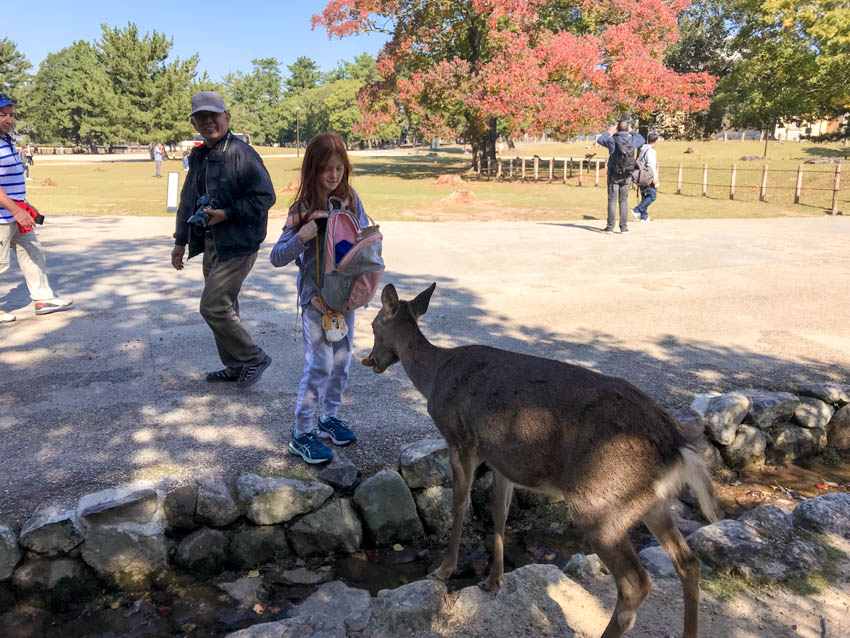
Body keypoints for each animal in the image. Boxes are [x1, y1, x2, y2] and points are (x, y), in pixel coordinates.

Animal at [362, 284, 720, 638]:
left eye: (374, 324)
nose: (373, 361)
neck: (434, 376)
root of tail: (678, 446)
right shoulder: (501, 457)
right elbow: (500, 511)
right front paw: (494, 579)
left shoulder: (460, 439)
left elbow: (460, 503)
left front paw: (443, 570)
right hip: (649, 502)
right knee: (688, 562)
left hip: (600, 502)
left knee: (636, 582)